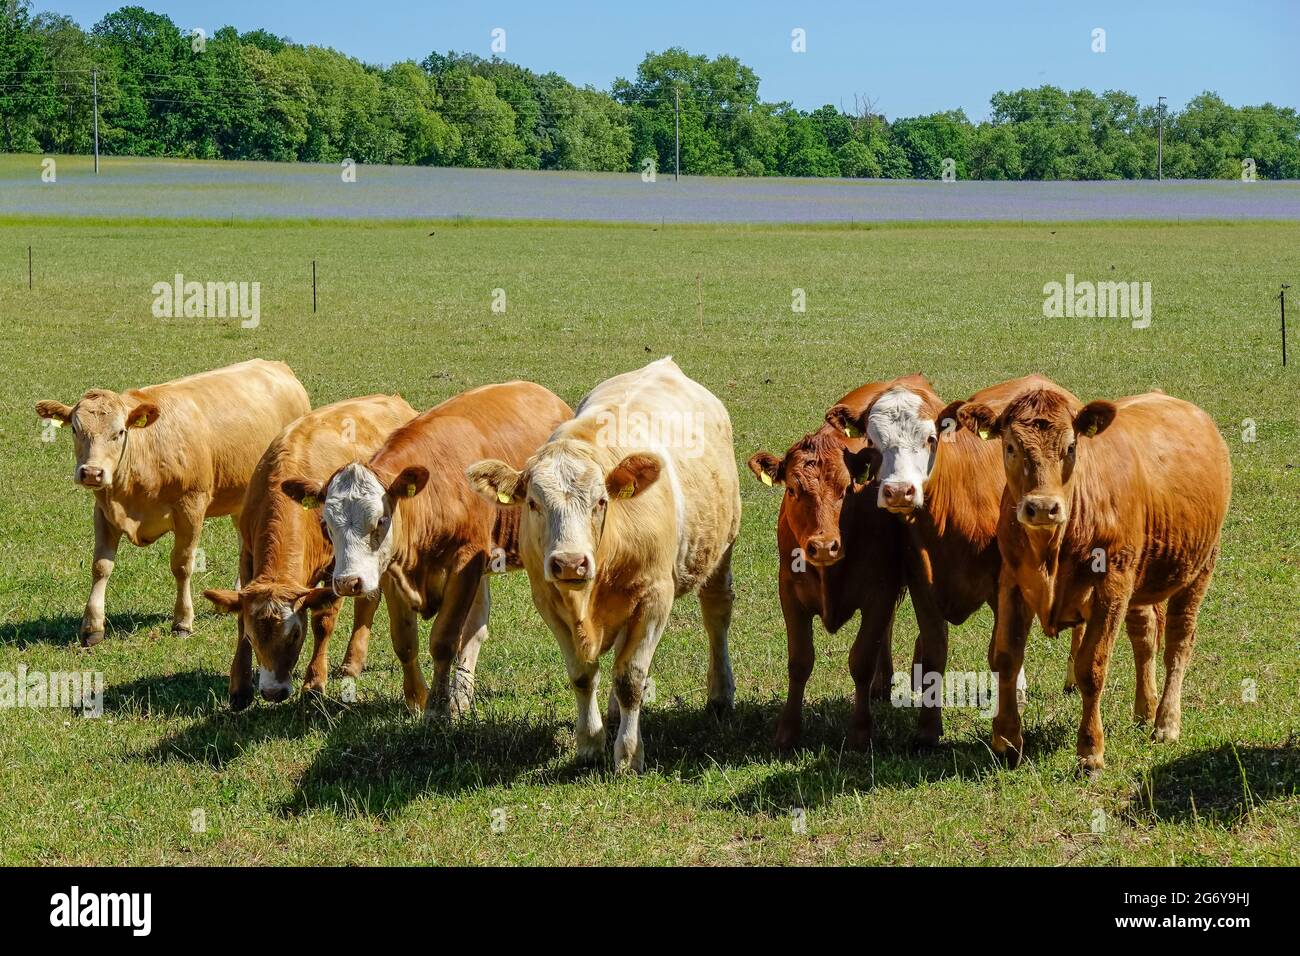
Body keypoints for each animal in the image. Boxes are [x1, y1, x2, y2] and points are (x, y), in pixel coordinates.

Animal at [35, 361, 309, 647]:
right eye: (75, 429)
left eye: (119, 432)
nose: (91, 473)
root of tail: (276, 366)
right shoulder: (104, 511)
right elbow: (101, 566)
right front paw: (92, 627)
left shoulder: (191, 507)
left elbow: (182, 564)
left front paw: (183, 621)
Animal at [201, 392, 416, 707]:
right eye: (253, 638)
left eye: (294, 635)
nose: (272, 692)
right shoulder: (248, 555)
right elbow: (240, 617)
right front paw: (239, 687)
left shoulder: (336, 569)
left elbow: (324, 620)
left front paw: (314, 684)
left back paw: (351, 662)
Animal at [282, 382, 572, 717]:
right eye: (326, 524)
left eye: (380, 519)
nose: (347, 582)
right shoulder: (392, 572)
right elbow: (404, 641)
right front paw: (417, 699)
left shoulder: (465, 564)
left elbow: (444, 640)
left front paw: (436, 708)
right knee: (475, 627)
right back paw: (461, 697)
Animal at [743, 379, 904, 749]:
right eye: (792, 489)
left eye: (846, 489)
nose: (823, 546)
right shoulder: (789, 593)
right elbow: (800, 661)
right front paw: (787, 730)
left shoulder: (881, 592)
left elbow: (861, 659)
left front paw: (860, 731)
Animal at [956, 377, 1227, 775]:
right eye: (1010, 447)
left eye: (1071, 447)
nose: (1042, 507)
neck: (1051, 549)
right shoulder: (1012, 582)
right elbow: (1005, 656)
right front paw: (1006, 740)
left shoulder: (1110, 587)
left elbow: (1091, 667)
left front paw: (1090, 751)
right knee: (1144, 635)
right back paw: (1145, 709)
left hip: (1199, 568)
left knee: (1179, 641)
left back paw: (1166, 722)